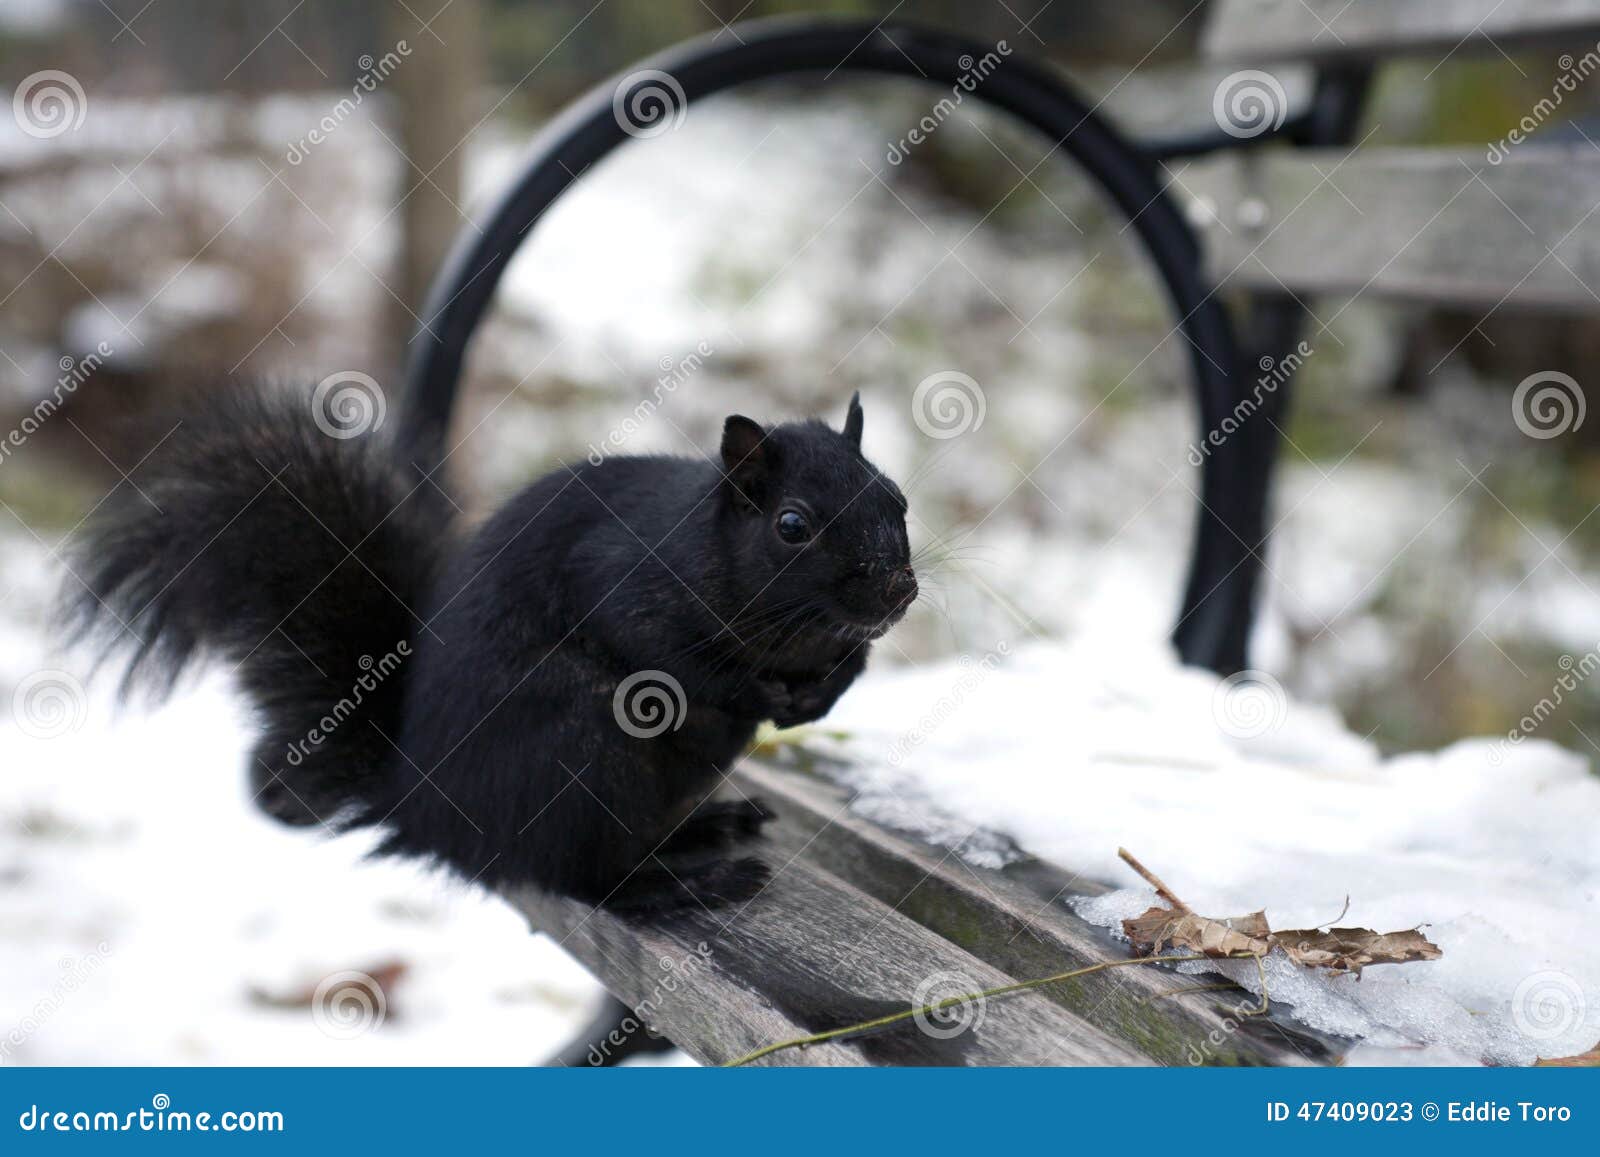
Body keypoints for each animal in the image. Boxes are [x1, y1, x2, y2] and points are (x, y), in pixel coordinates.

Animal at [65, 384, 915, 921]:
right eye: (793, 525)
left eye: (897, 498)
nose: (898, 590)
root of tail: (426, 808)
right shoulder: (624, 577)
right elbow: (672, 654)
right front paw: (761, 693)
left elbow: (849, 666)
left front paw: (823, 692)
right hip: (582, 741)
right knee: (584, 879)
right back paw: (684, 886)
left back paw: (710, 827)